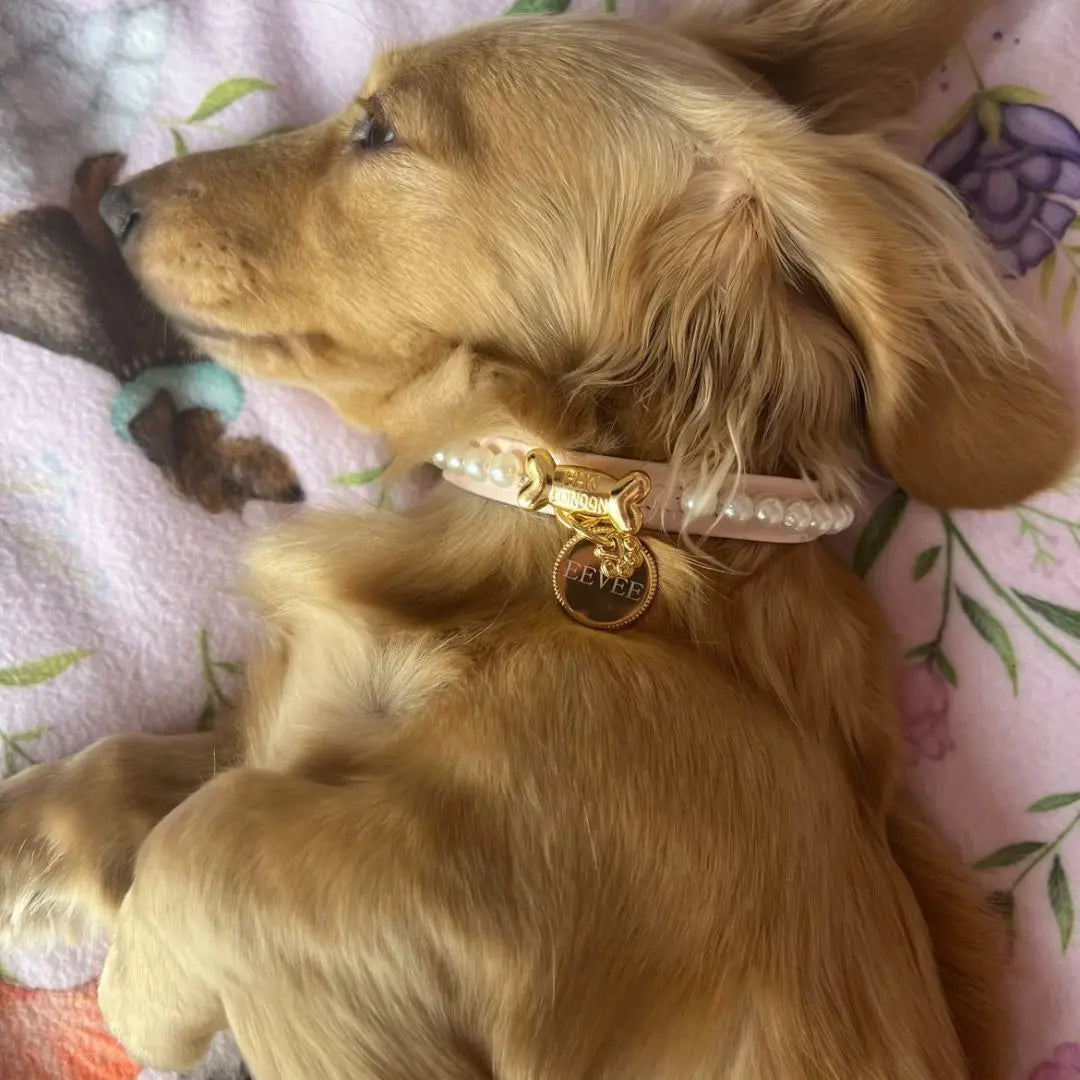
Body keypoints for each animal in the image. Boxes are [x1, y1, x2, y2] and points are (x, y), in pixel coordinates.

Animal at [4, 0, 1075, 1075]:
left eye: (379, 128)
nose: (115, 207)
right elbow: (159, 762)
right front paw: (24, 836)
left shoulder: (507, 874)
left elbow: (209, 833)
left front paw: (140, 993)